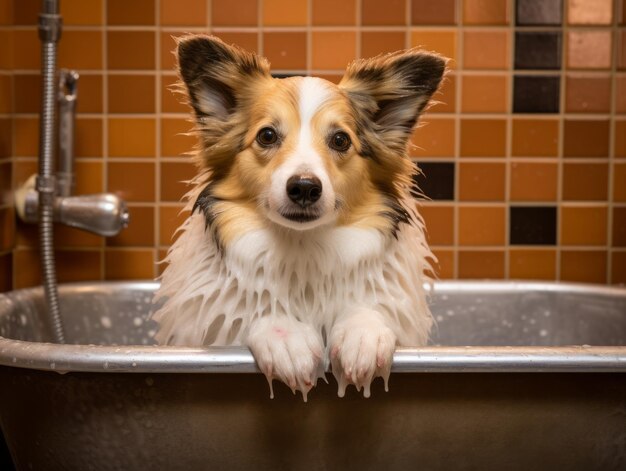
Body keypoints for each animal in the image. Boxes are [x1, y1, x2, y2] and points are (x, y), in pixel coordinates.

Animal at [151, 34, 444, 402]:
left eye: (340, 140)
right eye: (267, 135)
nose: (304, 188)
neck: (302, 247)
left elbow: (369, 309)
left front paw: (362, 333)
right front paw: (285, 338)